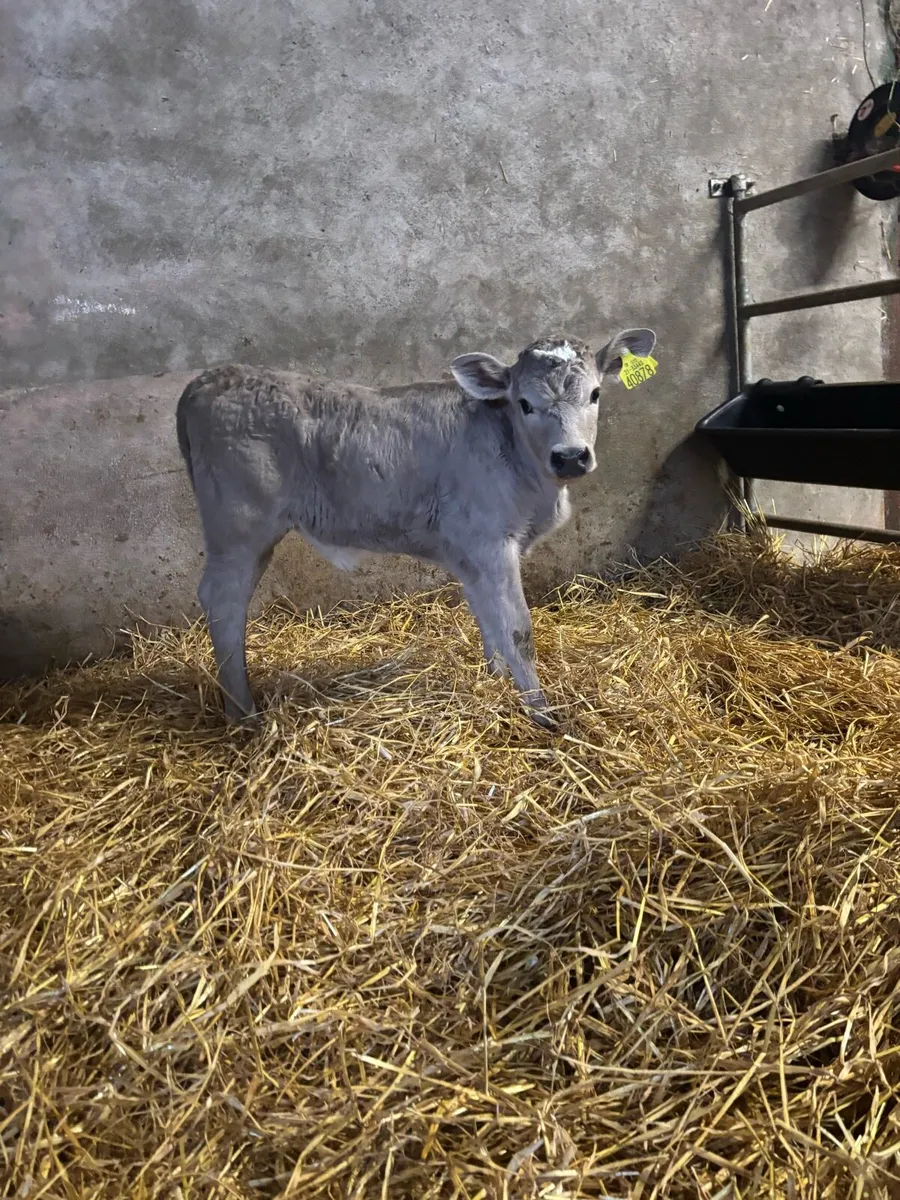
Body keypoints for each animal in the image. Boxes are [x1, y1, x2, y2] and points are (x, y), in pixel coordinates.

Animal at [176, 327, 656, 727]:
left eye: (595, 394)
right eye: (524, 403)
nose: (571, 456)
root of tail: (211, 378)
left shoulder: (470, 554)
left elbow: (489, 622)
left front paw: (494, 686)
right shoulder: (490, 543)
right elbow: (518, 630)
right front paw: (541, 713)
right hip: (238, 529)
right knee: (222, 601)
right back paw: (243, 714)